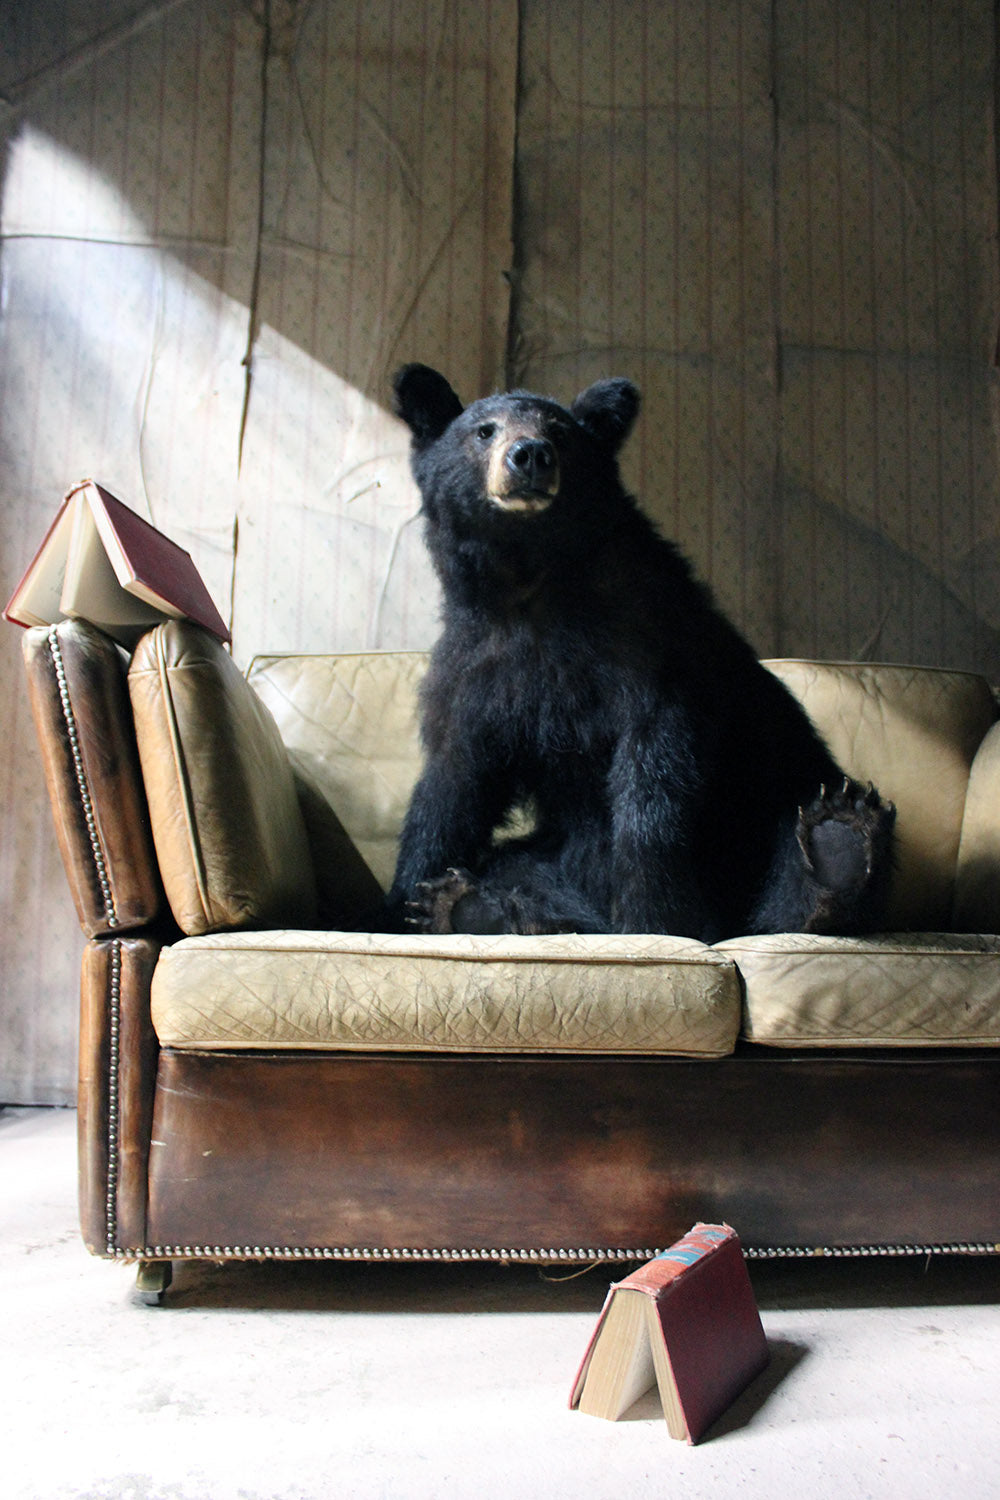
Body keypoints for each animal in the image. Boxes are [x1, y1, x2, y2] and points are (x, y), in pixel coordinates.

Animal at [385, 362, 895, 942]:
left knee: (787, 867)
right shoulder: (478, 666)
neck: (531, 580)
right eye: (484, 430)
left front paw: (652, 919)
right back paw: (472, 907)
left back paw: (838, 850)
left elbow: (653, 780)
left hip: (770, 800)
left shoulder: (648, 642)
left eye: (561, 432)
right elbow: (453, 782)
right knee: (522, 866)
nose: (530, 454)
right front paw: (407, 899)